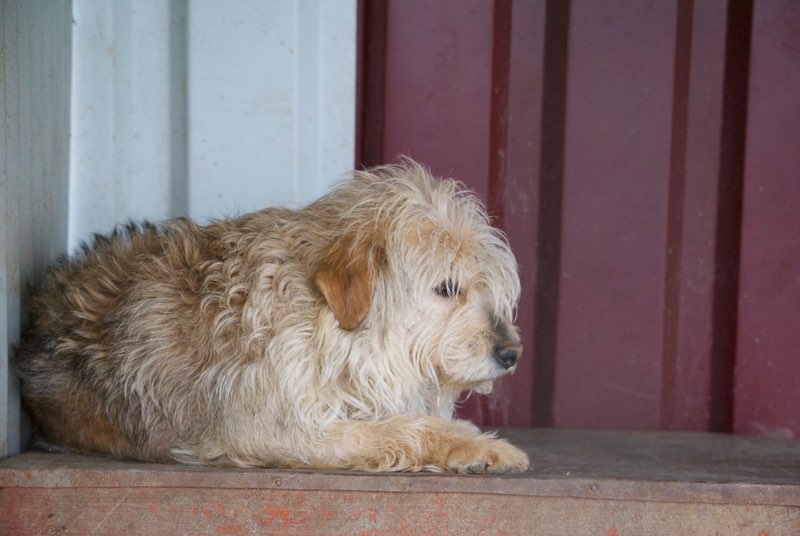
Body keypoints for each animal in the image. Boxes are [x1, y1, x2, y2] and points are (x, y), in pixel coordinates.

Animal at [15, 160, 528, 474]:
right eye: (447, 288)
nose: (512, 354)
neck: (330, 327)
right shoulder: (283, 432)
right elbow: (405, 430)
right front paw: (481, 445)